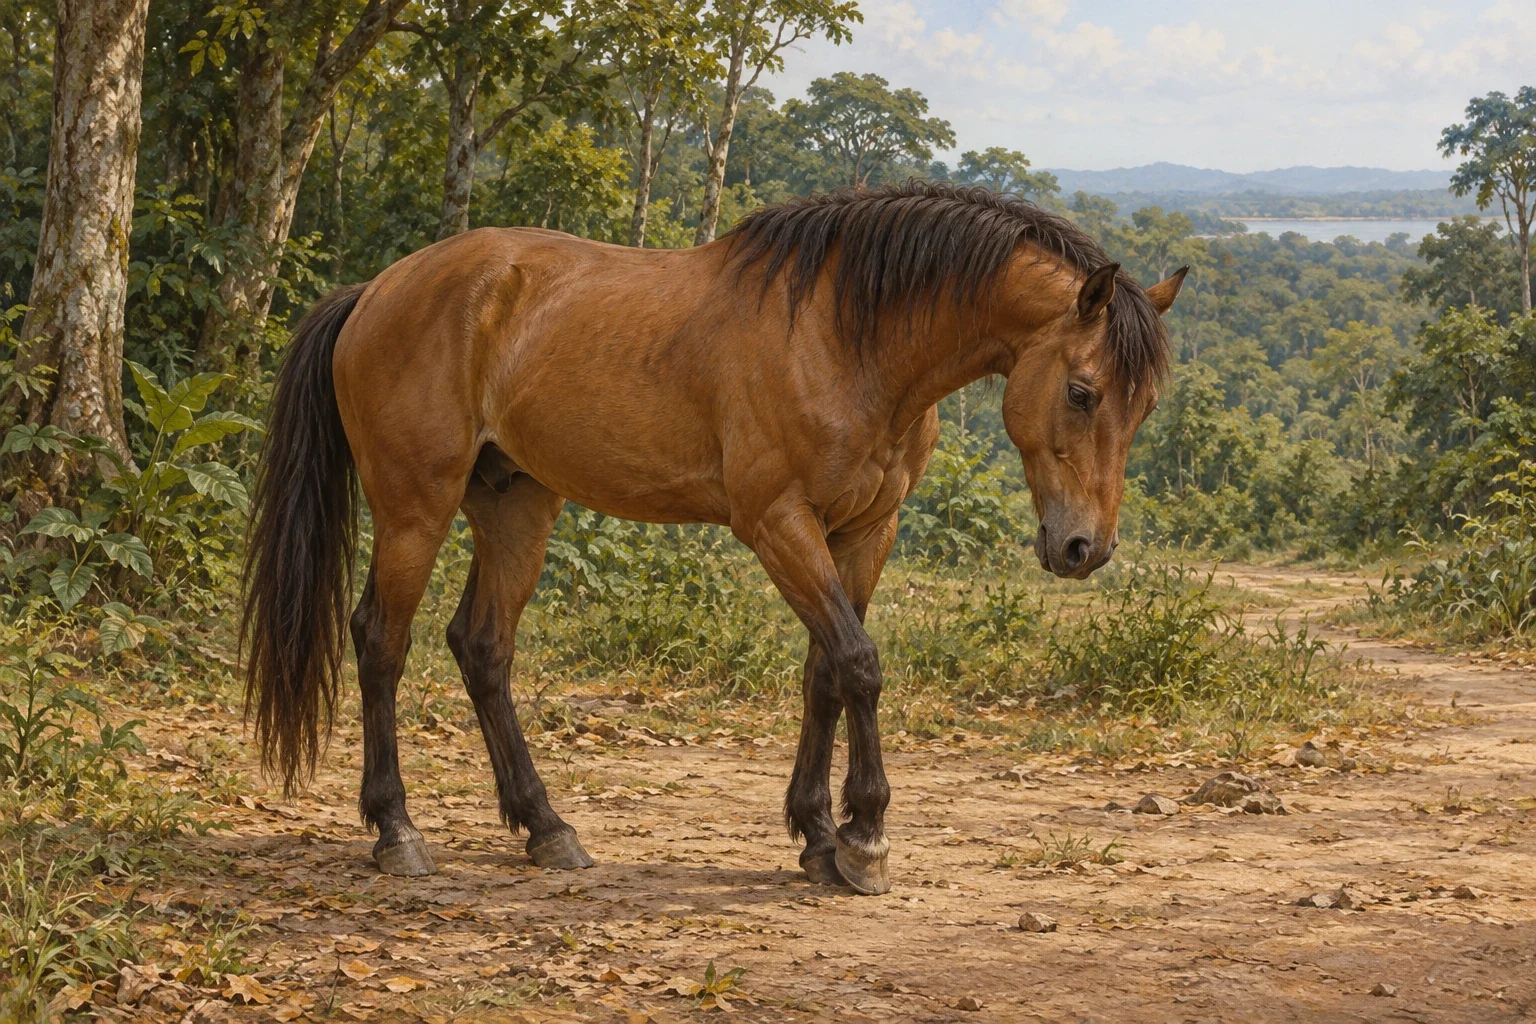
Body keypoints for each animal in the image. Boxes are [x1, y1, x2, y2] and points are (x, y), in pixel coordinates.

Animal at [242, 180, 1185, 895]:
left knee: (482, 648)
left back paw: (548, 829)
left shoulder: (861, 532)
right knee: (381, 642)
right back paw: (397, 832)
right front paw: (866, 839)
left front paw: (818, 836)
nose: (1084, 549)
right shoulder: (778, 524)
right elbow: (859, 664)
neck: (849, 336)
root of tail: (375, 292)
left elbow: (824, 674)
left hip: (517, 507)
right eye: (1082, 392)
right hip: (415, 508)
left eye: (1142, 406)